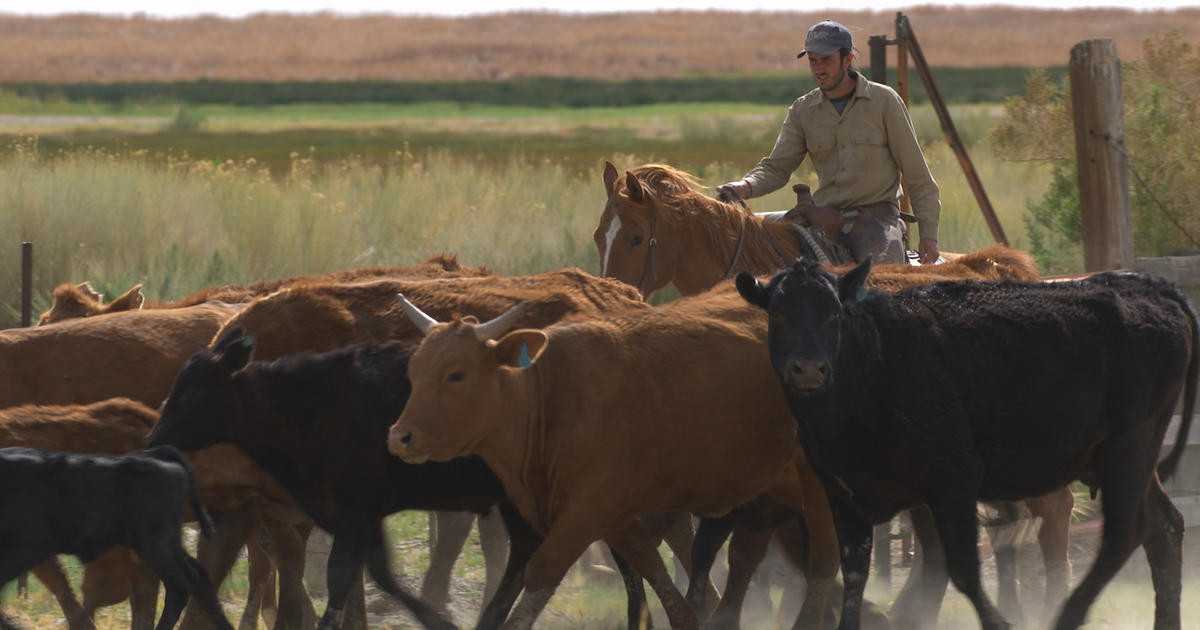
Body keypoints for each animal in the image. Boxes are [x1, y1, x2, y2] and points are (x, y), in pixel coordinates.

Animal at [0, 444, 231, 628]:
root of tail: (153, 455)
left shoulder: (28, 549)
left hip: (155, 545)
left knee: (182, 583)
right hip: (164, 544)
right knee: (199, 575)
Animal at [391, 283, 835, 628]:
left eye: (456, 374)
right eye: (414, 371)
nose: (400, 437)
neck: (551, 397)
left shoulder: (585, 513)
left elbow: (541, 574)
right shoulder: (618, 519)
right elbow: (658, 579)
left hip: (819, 488)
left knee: (824, 566)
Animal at [734, 256, 1195, 628]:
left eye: (833, 314)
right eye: (778, 314)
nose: (809, 369)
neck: (872, 368)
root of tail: (1151, 286)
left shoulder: (953, 483)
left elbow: (964, 571)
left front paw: (1002, 622)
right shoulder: (844, 496)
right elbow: (854, 578)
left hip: (1129, 450)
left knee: (1124, 534)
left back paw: (1068, 615)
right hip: (1128, 459)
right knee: (1164, 528)